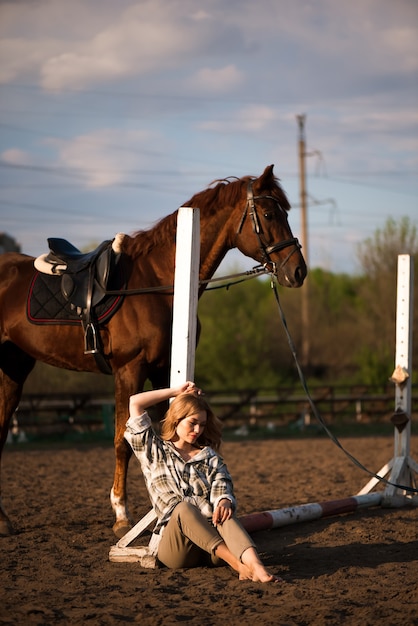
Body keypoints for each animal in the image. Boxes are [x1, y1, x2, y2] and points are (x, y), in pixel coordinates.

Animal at [0, 165, 306, 536]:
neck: (159, 283)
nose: (298, 271)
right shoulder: (129, 370)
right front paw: (122, 517)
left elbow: (165, 435)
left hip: (14, 368)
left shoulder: (162, 371)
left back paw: (2, 520)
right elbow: (123, 440)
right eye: (269, 214)